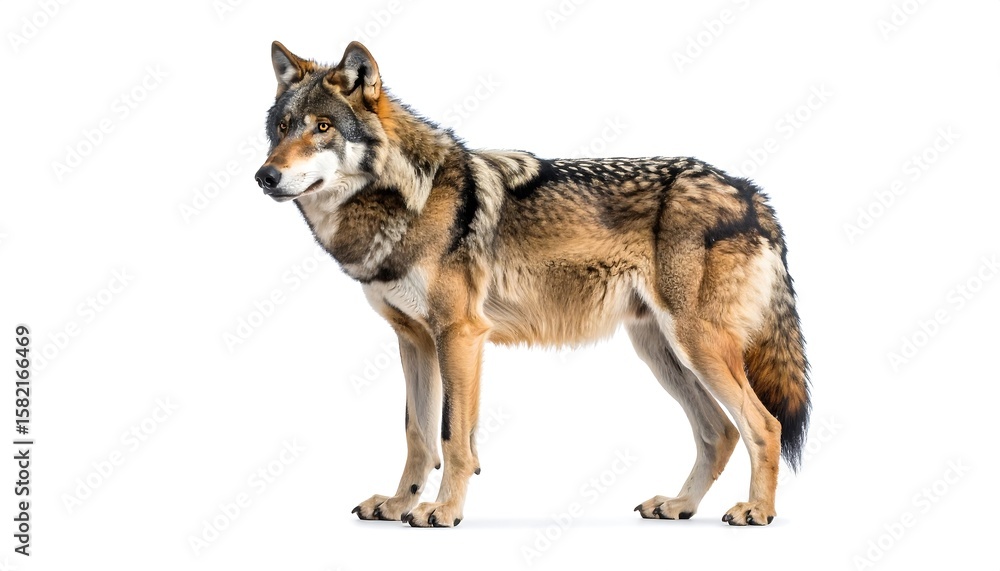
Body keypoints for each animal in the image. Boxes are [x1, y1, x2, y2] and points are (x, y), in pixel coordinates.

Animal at [254, 41, 810, 527]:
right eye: (281, 128)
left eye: (323, 127)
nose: (265, 176)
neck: (410, 198)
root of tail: (750, 192)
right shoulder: (414, 340)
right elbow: (418, 435)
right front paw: (397, 505)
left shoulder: (460, 334)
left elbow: (452, 437)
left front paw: (443, 511)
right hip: (661, 351)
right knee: (719, 432)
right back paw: (678, 505)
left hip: (697, 345)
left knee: (764, 425)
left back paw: (756, 512)